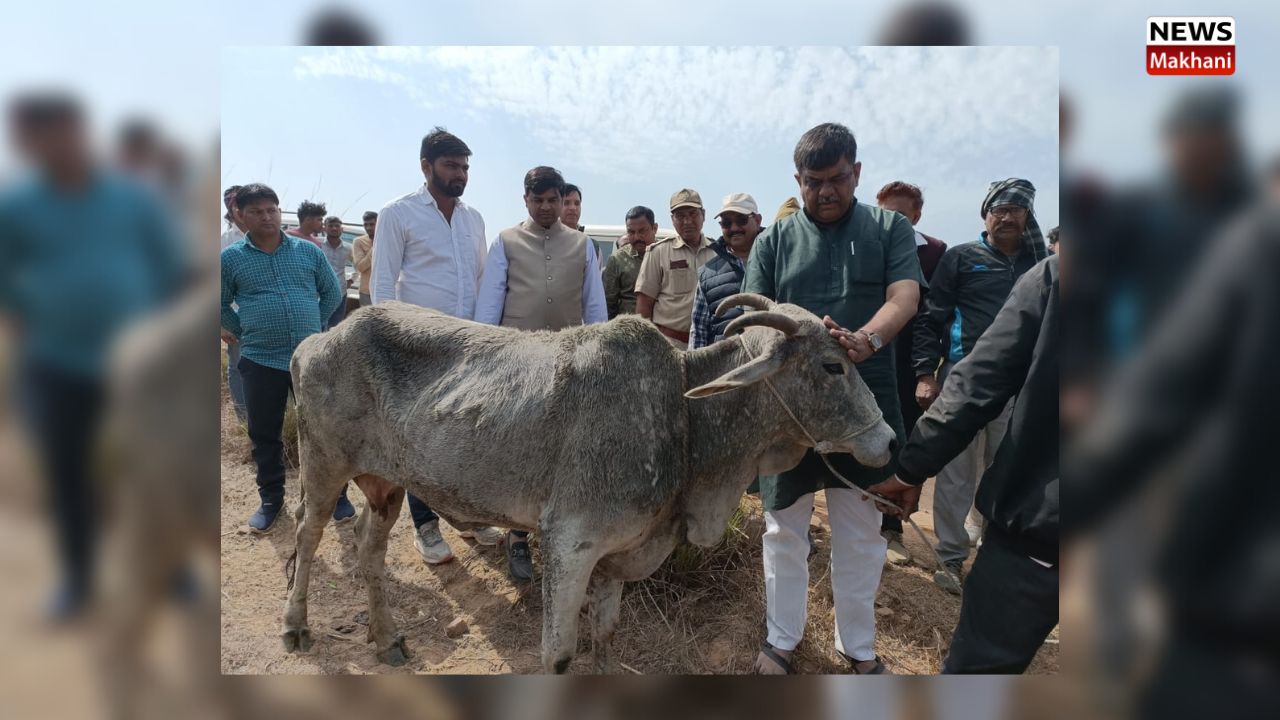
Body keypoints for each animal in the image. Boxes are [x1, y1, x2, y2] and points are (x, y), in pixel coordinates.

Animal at [281, 293, 895, 673]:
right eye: (832, 365)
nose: (888, 440)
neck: (683, 412)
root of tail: (318, 337)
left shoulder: (616, 557)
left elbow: (605, 638)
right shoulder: (569, 543)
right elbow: (557, 654)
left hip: (384, 483)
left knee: (369, 550)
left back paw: (385, 638)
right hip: (323, 465)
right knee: (307, 535)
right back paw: (295, 627)